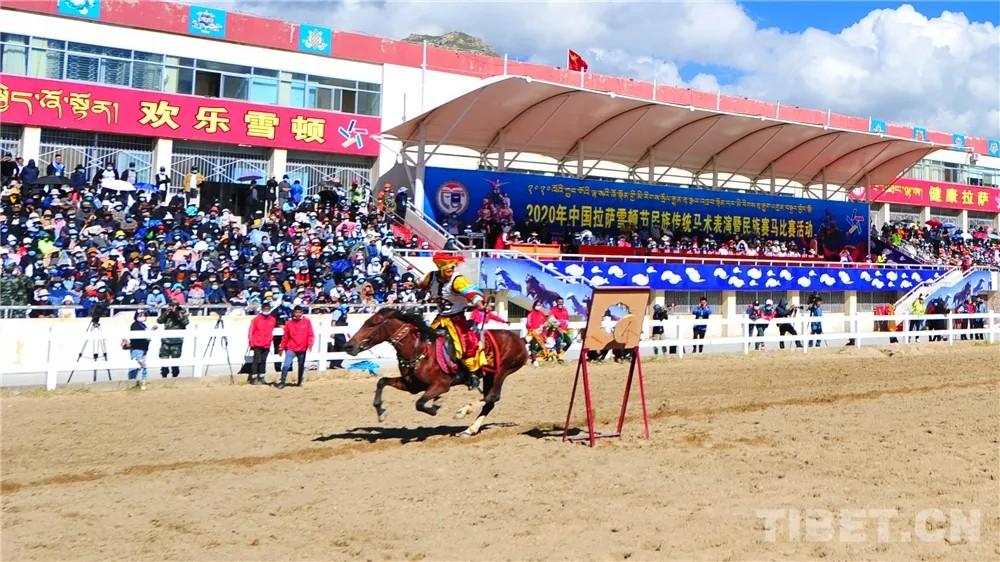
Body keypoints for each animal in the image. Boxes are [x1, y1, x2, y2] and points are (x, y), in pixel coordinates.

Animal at [344, 306, 532, 434]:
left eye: (372, 324)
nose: (349, 345)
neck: (419, 350)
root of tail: (519, 338)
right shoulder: (412, 385)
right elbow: (381, 381)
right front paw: (380, 411)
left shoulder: (441, 385)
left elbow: (420, 403)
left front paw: (435, 406)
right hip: (489, 376)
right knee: (489, 401)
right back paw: (470, 429)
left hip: (503, 371)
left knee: (493, 397)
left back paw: (463, 412)